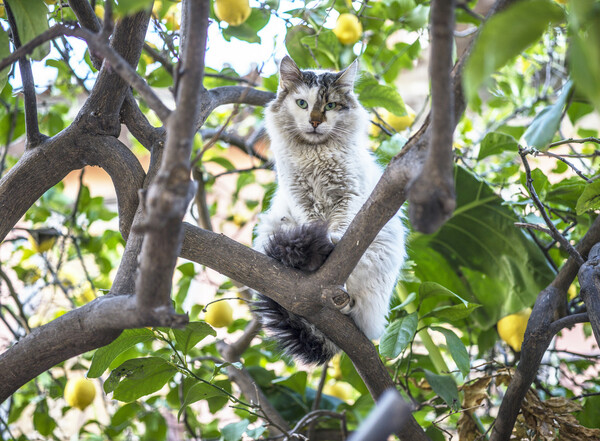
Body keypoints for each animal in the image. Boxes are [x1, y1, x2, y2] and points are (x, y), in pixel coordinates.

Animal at [251, 55, 406, 364]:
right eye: (302, 103)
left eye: (331, 106)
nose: (314, 121)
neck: (315, 156)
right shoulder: (301, 199)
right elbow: (314, 224)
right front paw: (321, 240)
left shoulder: (348, 194)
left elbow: (343, 227)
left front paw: (333, 239)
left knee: (360, 312)